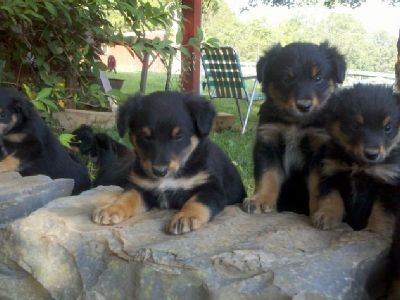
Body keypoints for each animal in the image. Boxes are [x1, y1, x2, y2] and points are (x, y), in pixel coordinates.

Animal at [92, 91, 245, 234]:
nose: (160, 171)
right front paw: (111, 209)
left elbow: (197, 201)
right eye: (145, 136)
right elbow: (127, 197)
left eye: (178, 136)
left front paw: (185, 217)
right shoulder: (140, 186)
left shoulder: (212, 188)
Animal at [242, 42, 346, 216]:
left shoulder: (319, 148)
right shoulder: (268, 142)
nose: (304, 106)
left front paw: (319, 208)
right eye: (286, 79)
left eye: (318, 78)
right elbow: (267, 175)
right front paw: (260, 200)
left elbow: (317, 184)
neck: (296, 123)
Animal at [312, 83, 400, 233]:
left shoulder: (388, 181)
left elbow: (381, 210)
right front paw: (326, 215)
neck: (360, 163)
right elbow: (331, 197)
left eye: (388, 128)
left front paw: (376, 230)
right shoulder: (330, 172)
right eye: (355, 126)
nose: (372, 154)